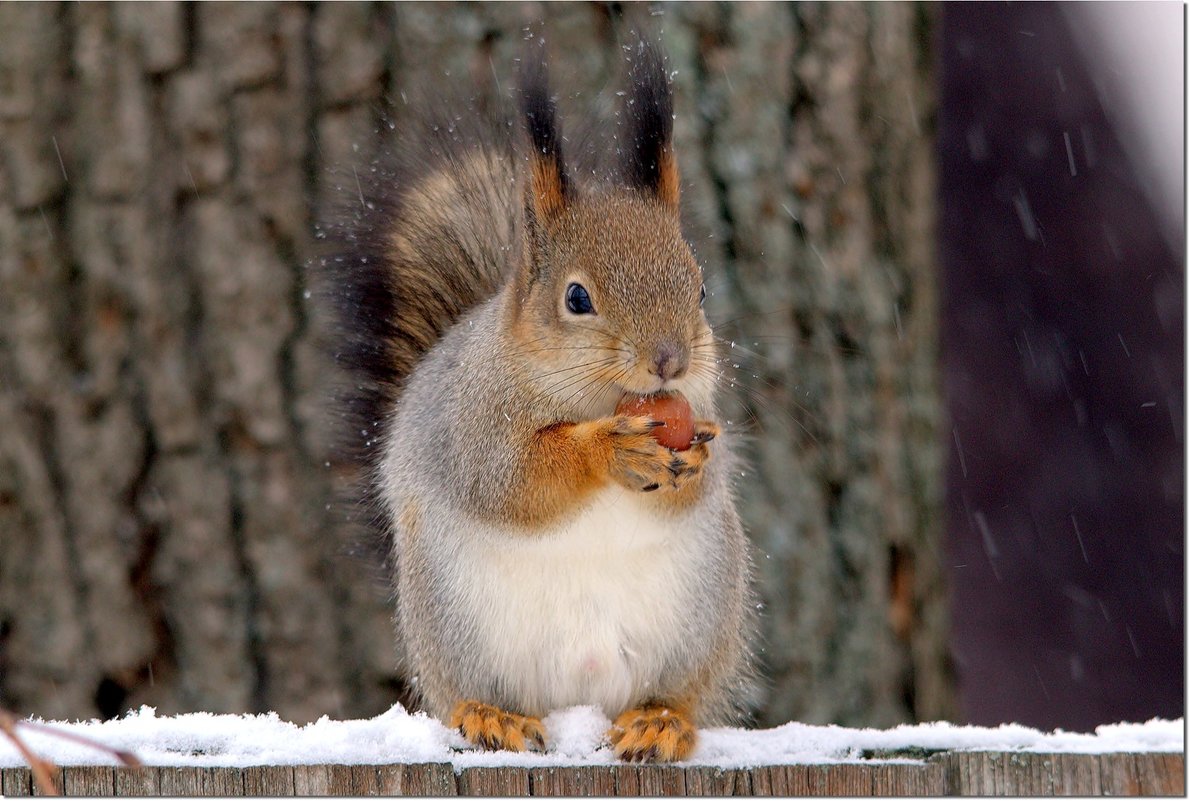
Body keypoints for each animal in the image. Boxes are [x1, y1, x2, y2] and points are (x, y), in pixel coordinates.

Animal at [318, 38, 752, 761]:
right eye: (577, 297)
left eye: (699, 288)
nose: (671, 360)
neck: (601, 397)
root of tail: (578, 701)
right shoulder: (472, 426)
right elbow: (514, 482)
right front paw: (607, 450)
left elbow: (698, 484)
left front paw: (694, 461)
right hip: (452, 621)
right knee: (470, 690)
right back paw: (491, 715)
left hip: (703, 615)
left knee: (677, 691)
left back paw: (658, 720)